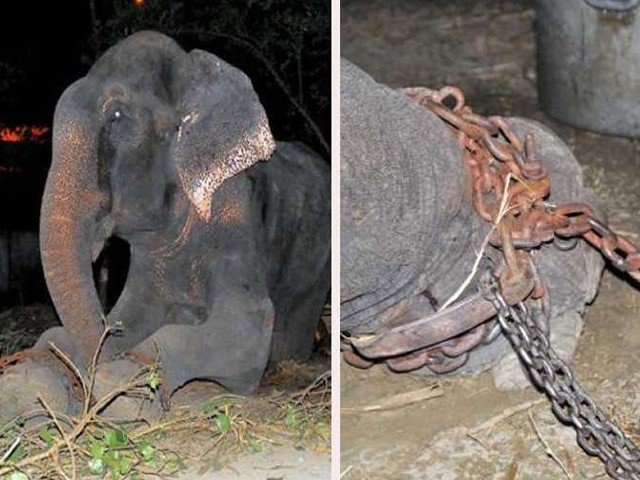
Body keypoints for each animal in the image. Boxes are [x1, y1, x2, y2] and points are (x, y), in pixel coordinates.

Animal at [0, 31, 330, 421]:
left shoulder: (234, 208)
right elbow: (127, 316)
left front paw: (125, 389)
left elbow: (249, 323)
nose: (90, 374)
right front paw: (26, 381)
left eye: (116, 116)